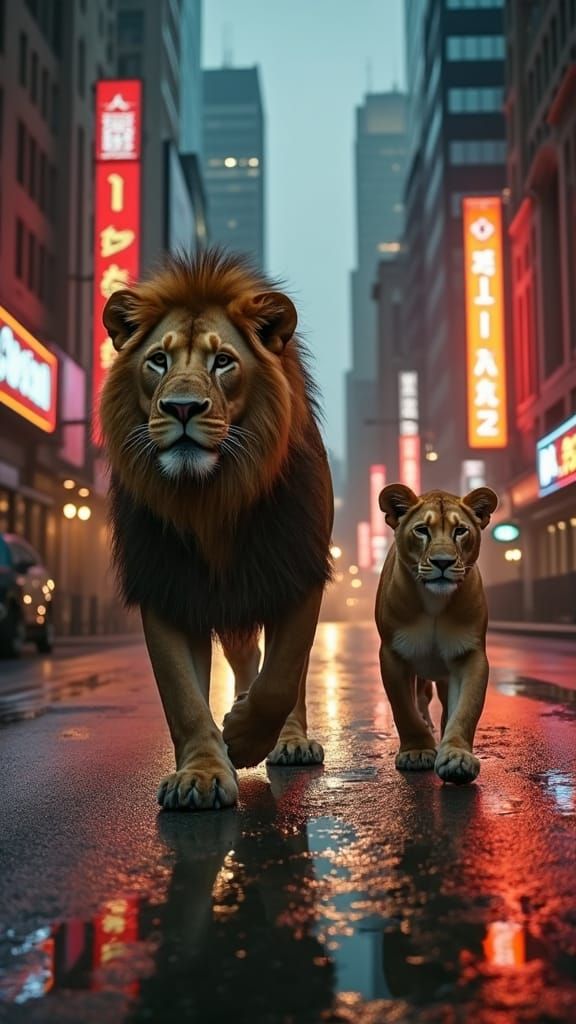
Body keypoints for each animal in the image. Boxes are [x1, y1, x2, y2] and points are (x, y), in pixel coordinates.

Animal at [100, 249, 333, 811]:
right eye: (158, 361)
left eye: (222, 361)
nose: (182, 407)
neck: (209, 498)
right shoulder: (166, 583)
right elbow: (183, 694)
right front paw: (202, 774)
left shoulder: (297, 569)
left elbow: (282, 677)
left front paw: (245, 737)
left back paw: (289, 741)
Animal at [375, 483, 498, 785]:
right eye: (422, 530)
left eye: (460, 531)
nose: (443, 562)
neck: (434, 602)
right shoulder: (393, 655)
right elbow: (404, 709)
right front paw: (417, 751)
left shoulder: (470, 655)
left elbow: (465, 710)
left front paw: (456, 756)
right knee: (419, 700)